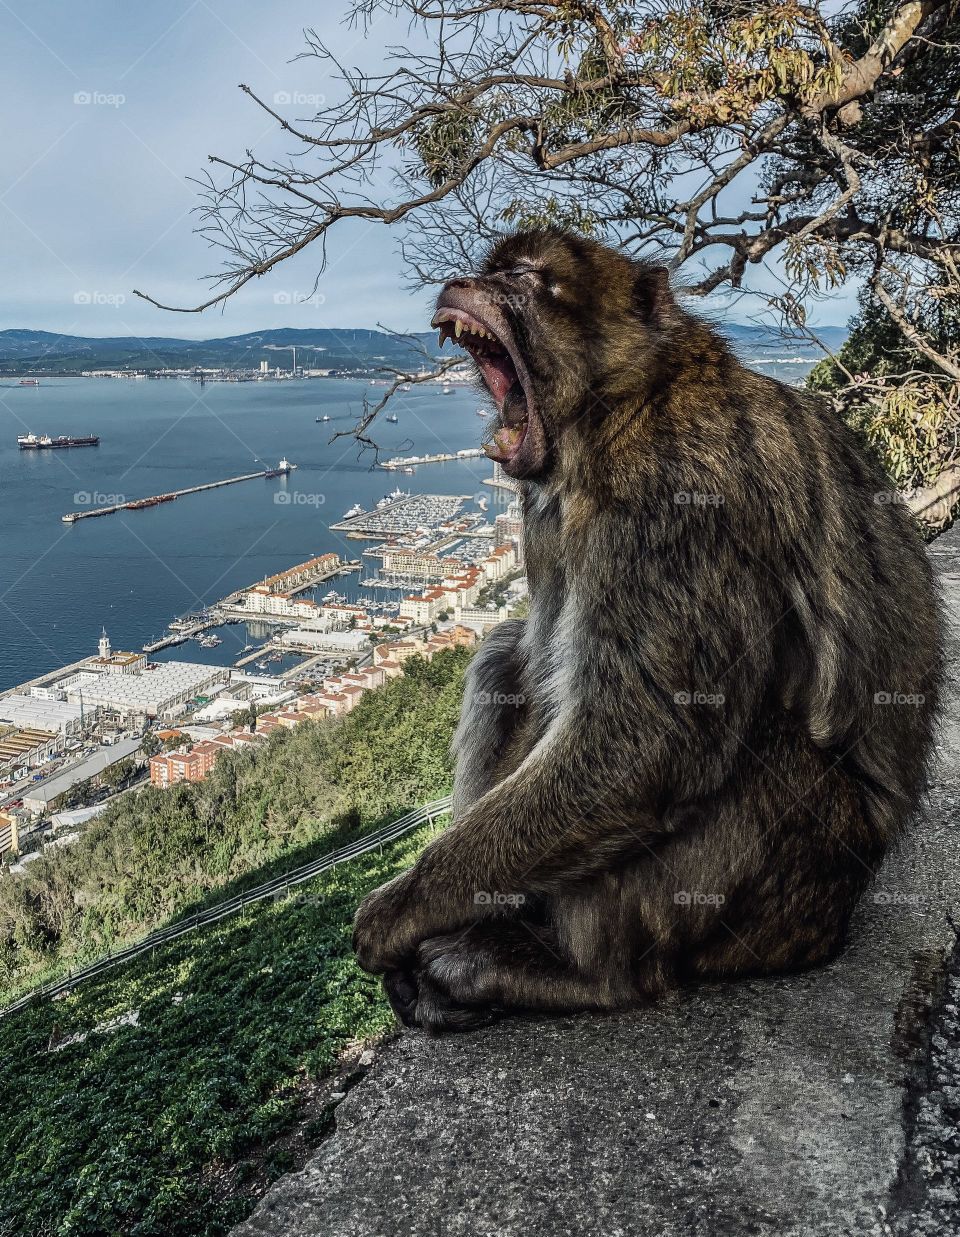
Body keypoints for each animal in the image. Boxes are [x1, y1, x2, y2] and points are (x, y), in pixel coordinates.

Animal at [352, 227, 943, 1034]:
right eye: (493, 268)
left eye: (526, 278)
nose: (463, 283)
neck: (621, 409)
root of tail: (828, 929)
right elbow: (538, 670)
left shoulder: (672, 499)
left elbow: (646, 740)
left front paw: (401, 910)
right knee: (506, 657)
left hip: (783, 896)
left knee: (740, 746)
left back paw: (582, 976)